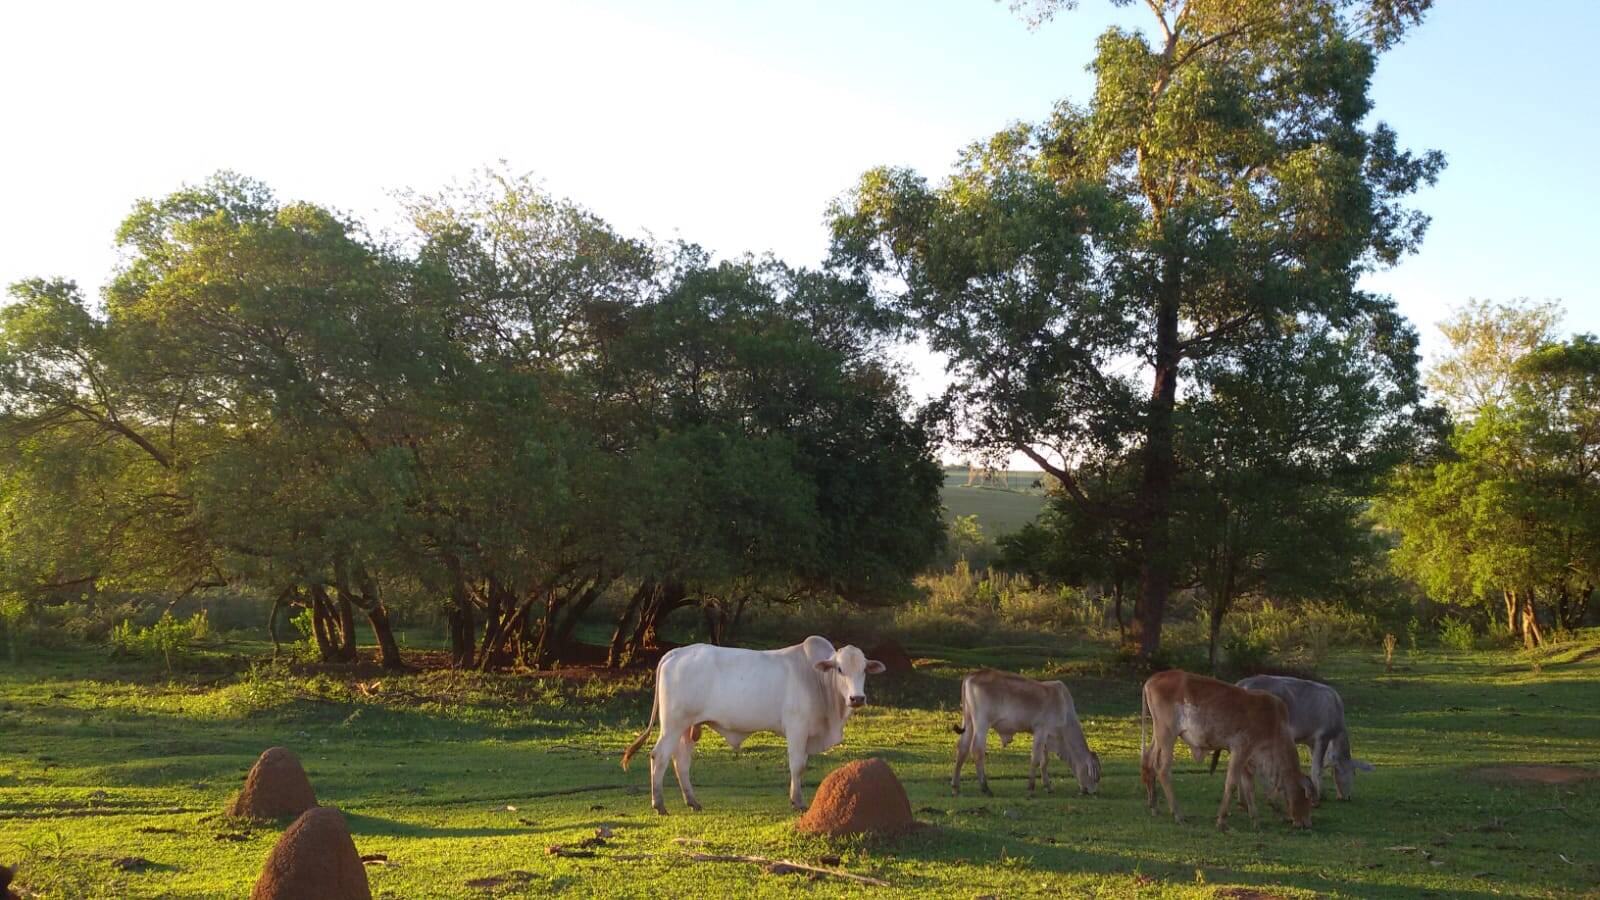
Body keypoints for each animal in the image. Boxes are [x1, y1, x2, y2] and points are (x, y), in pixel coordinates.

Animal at [617, 630, 889, 813]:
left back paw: (692, 801)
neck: (816, 679)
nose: (857, 698)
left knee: (681, 761)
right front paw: (798, 802)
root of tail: (676, 652)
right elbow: (798, 765)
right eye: (840, 669)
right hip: (672, 725)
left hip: (688, 727)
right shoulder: (797, 728)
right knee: (659, 756)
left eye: (864, 670)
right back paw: (659, 804)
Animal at [947, 666, 1100, 791]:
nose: (1091, 791)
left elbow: (1044, 761)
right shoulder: (1041, 730)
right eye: (1095, 775)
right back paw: (985, 788)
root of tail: (972, 674)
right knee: (977, 750)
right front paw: (1031, 787)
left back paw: (956, 787)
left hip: (969, 721)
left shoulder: (1047, 736)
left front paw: (1048, 786)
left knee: (962, 749)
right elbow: (1036, 758)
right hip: (982, 723)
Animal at [1139, 666, 1312, 826]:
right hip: (1168, 734)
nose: (1307, 824)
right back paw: (1178, 814)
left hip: (1158, 735)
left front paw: (1256, 818)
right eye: (1308, 800)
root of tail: (1153, 679)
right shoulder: (1241, 750)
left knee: (1149, 762)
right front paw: (1222, 820)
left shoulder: (1248, 760)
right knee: (1163, 769)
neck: (1274, 724)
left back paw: (1154, 807)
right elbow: (1232, 784)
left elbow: (1249, 787)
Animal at [1209, 672, 1376, 797]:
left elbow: (1316, 766)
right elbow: (1317, 769)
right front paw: (1318, 795)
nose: (1347, 797)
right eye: (1354, 772)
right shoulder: (1323, 737)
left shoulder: (1312, 742)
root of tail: (1243, 682)